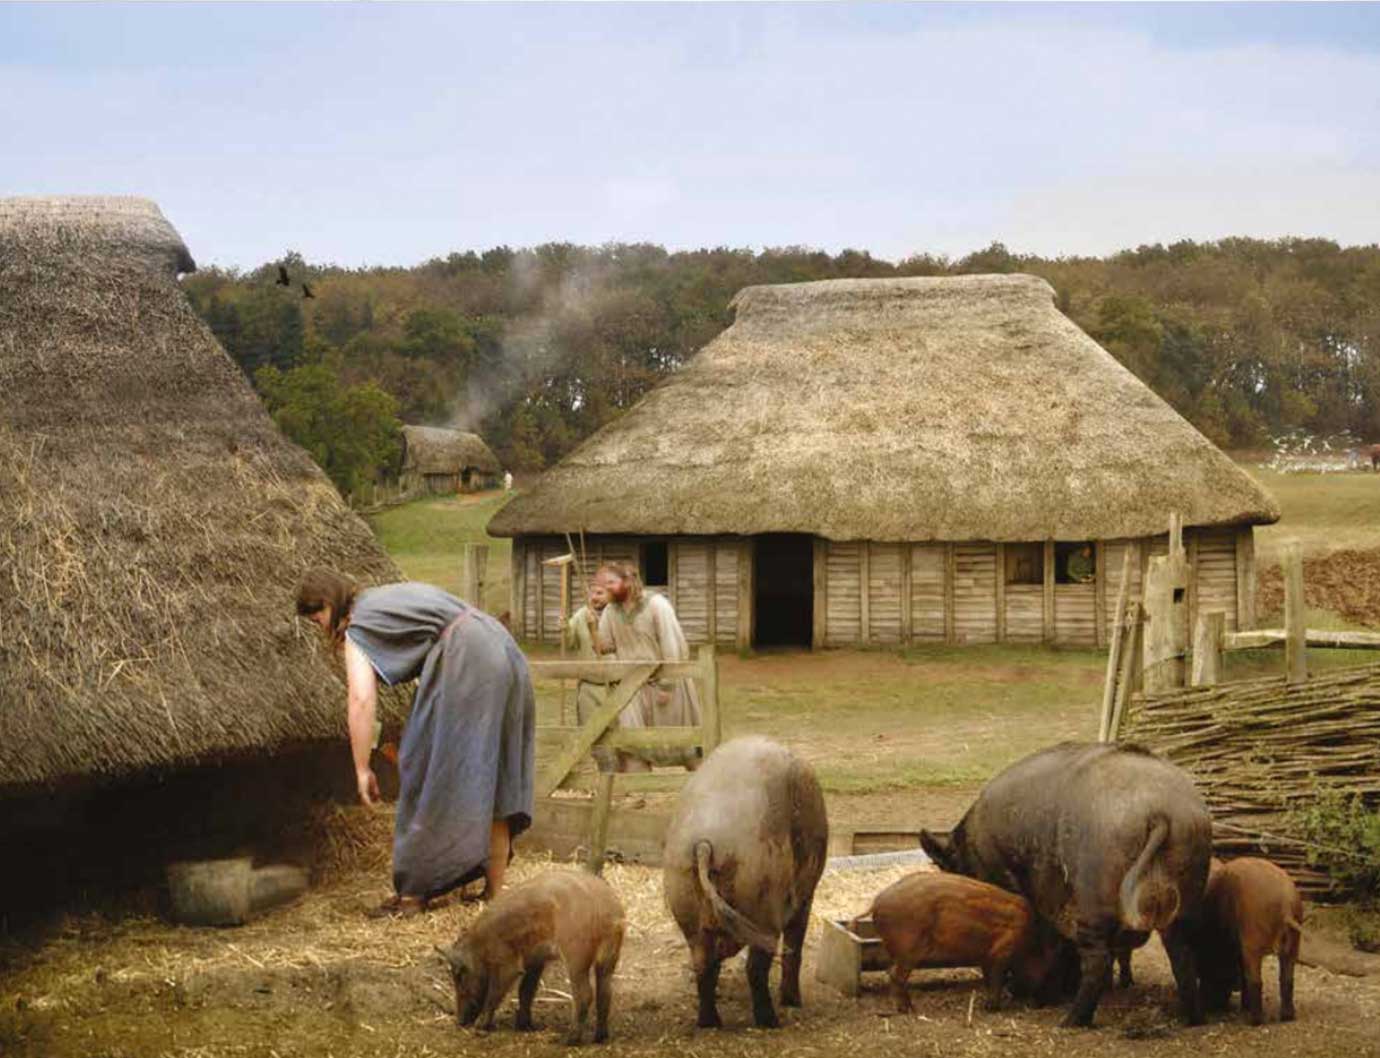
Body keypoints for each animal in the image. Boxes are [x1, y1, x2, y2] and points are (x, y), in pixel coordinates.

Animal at [436, 871, 626, 1042]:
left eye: (460, 977)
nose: (460, 1021)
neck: (480, 947)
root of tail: (609, 911)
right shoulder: (534, 960)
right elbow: (526, 990)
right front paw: (524, 1027)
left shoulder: (507, 961)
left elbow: (495, 991)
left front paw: (481, 1027)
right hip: (610, 956)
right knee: (605, 991)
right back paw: (600, 1037)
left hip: (576, 953)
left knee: (585, 994)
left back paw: (567, 1040)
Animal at [659, 739, 822, 1026]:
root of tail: (704, 842)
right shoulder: (805, 895)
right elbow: (795, 946)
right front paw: (793, 1003)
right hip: (760, 894)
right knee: (756, 966)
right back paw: (771, 1021)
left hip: (681, 891)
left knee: (703, 964)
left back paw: (709, 1023)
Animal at [861, 871, 1054, 1015]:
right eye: (1046, 969)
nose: (1040, 1003)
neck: (1030, 941)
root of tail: (876, 903)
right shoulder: (1000, 953)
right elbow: (996, 978)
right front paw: (993, 1008)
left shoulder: (986, 956)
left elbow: (988, 978)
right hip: (909, 948)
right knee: (895, 974)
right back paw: (908, 1009)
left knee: (890, 971)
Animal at [921, 744, 1214, 1026]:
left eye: (954, 869)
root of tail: (1158, 812)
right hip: (1187, 890)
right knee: (1182, 954)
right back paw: (1190, 1019)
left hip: (1094, 894)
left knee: (1097, 961)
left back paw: (1069, 1021)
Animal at [1197, 860, 1302, 1026]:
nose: (1212, 1007)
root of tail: (1285, 903)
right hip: (1294, 943)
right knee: (1287, 979)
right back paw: (1287, 1017)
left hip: (1253, 942)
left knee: (1256, 981)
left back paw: (1253, 1020)